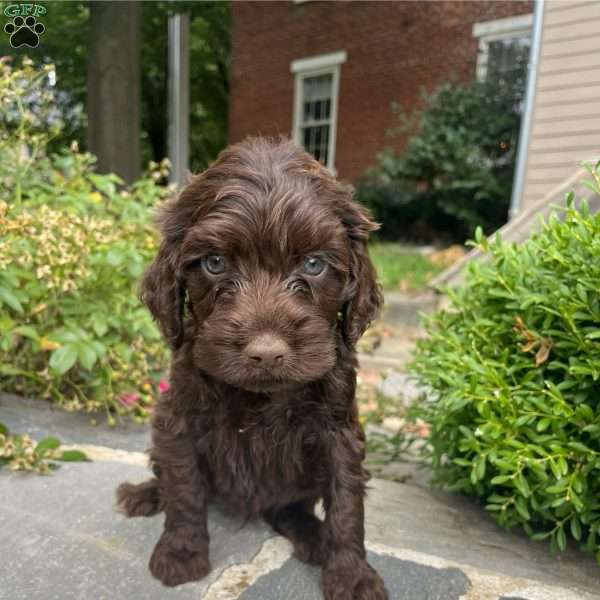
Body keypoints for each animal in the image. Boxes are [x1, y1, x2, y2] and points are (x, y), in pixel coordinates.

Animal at [116, 137, 386, 600]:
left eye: (313, 265)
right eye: (215, 263)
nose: (266, 353)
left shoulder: (340, 432)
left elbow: (347, 504)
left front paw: (352, 575)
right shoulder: (179, 419)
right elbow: (185, 488)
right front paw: (182, 552)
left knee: (288, 507)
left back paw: (313, 535)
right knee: (167, 474)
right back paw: (145, 494)